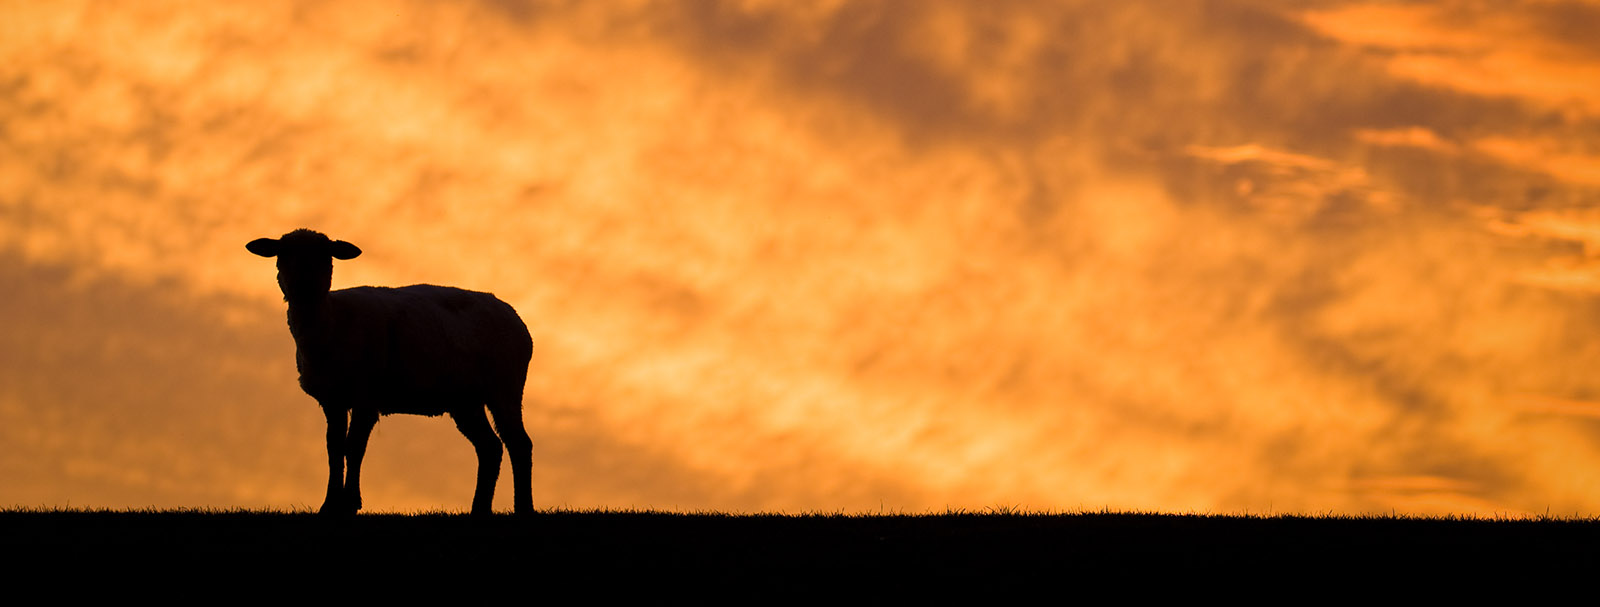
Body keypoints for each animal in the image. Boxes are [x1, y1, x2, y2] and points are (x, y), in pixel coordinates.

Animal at [243, 229, 531, 518]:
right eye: (282, 254)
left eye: (326, 255)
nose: (304, 284)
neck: (331, 319)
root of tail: (516, 317)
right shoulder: (333, 399)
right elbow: (333, 448)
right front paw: (329, 505)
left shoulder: (366, 396)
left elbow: (353, 447)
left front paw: (350, 503)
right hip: (465, 401)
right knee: (490, 447)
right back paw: (479, 509)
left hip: (505, 387)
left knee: (519, 444)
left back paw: (524, 508)